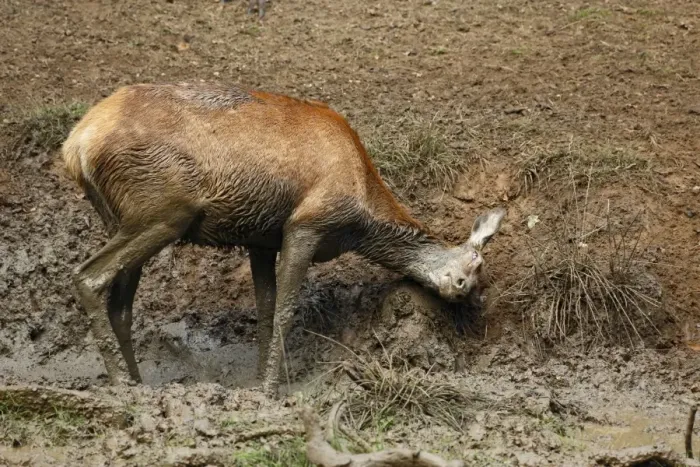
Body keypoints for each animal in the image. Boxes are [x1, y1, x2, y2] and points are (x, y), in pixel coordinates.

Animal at [61, 82, 506, 398]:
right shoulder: (306, 225)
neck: (360, 217)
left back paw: (138, 384)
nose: (464, 292)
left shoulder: (260, 239)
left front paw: (257, 381)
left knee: (121, 304)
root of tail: (75, 146)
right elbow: (285, 310)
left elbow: (264, 307)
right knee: (88, 276)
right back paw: (120, 384)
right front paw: (272, 390)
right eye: (476, 266)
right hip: (164, 210)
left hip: (123, 217)